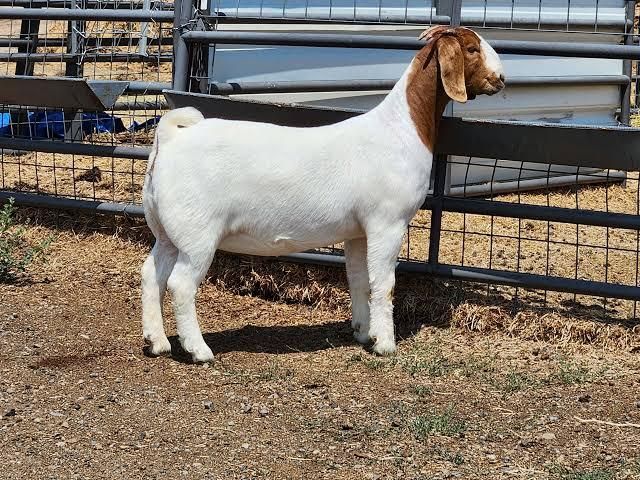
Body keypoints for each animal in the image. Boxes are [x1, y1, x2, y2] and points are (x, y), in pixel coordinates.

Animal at [141, 25, 505, 363]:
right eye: (472, 48)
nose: (501, 78)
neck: (402, 127)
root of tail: (172, 138)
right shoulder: (387, 222)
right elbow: (384, 283)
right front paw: (386, 344)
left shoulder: (358, 231)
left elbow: (359, 279)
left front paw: (363, 333)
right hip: (197, 232)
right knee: (180, 283)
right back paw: (198, 350)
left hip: (167, 229)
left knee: (151, 274)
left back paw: (157, 342)